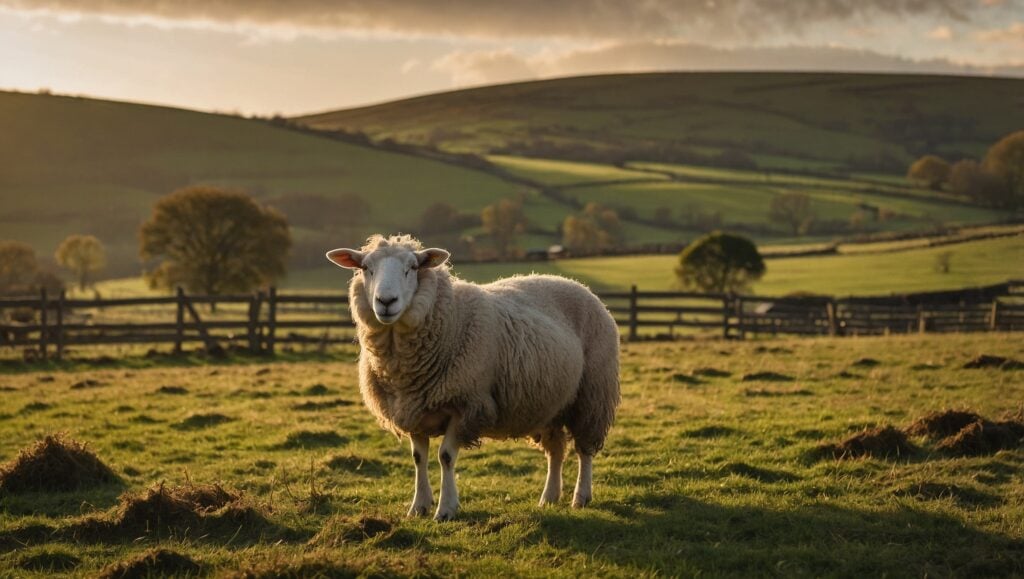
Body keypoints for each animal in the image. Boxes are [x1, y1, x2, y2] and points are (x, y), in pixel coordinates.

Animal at [326, 234, 620, 521]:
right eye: (366, 268)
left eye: (412, 267)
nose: (386, 302)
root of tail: (576, 284)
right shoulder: (414, 409)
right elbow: (418, 458)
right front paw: (418, 507)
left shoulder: (466, 405)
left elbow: (445, 456)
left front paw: (446, 509)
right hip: (550, 402)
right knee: (556, 450)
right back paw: (549, 498)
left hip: (592, 393)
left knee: (584, 449)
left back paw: (581, 497)